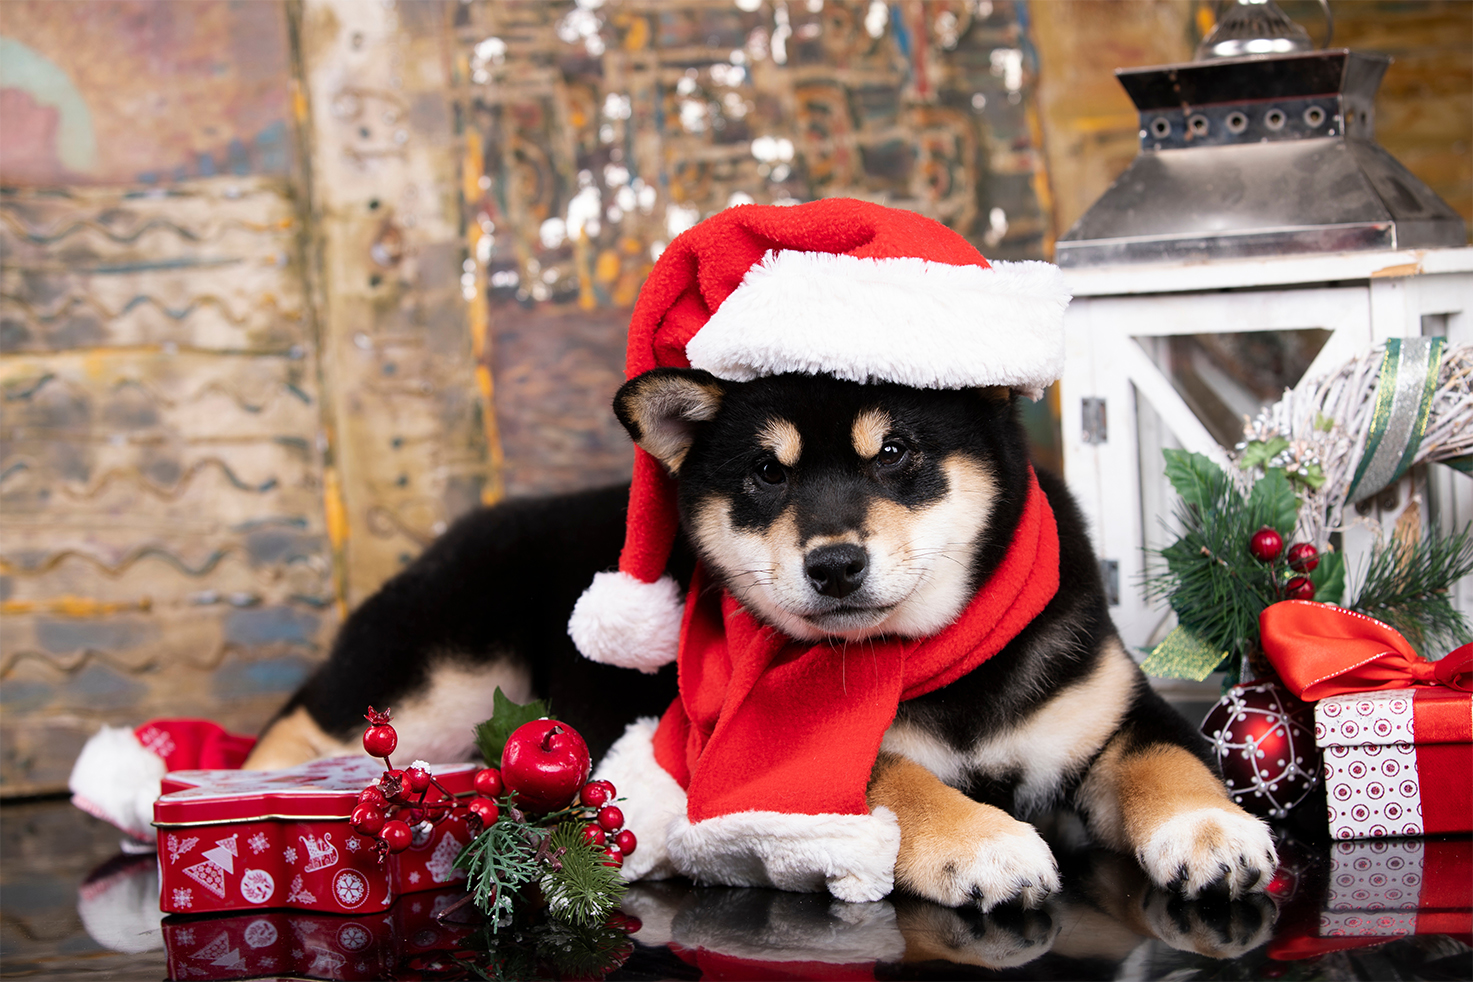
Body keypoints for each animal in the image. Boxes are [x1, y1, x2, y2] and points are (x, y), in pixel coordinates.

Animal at [244, 366, 1278, 912]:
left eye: (893, 452)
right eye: (765, 474)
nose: (834, 565)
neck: (924, 661)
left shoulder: (1106, 710)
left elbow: (1166, 762)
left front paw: (1213, 830)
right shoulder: (760, 759)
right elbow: (892, 780)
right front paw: (985, 844)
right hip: (438, 676)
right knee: (298, 730)